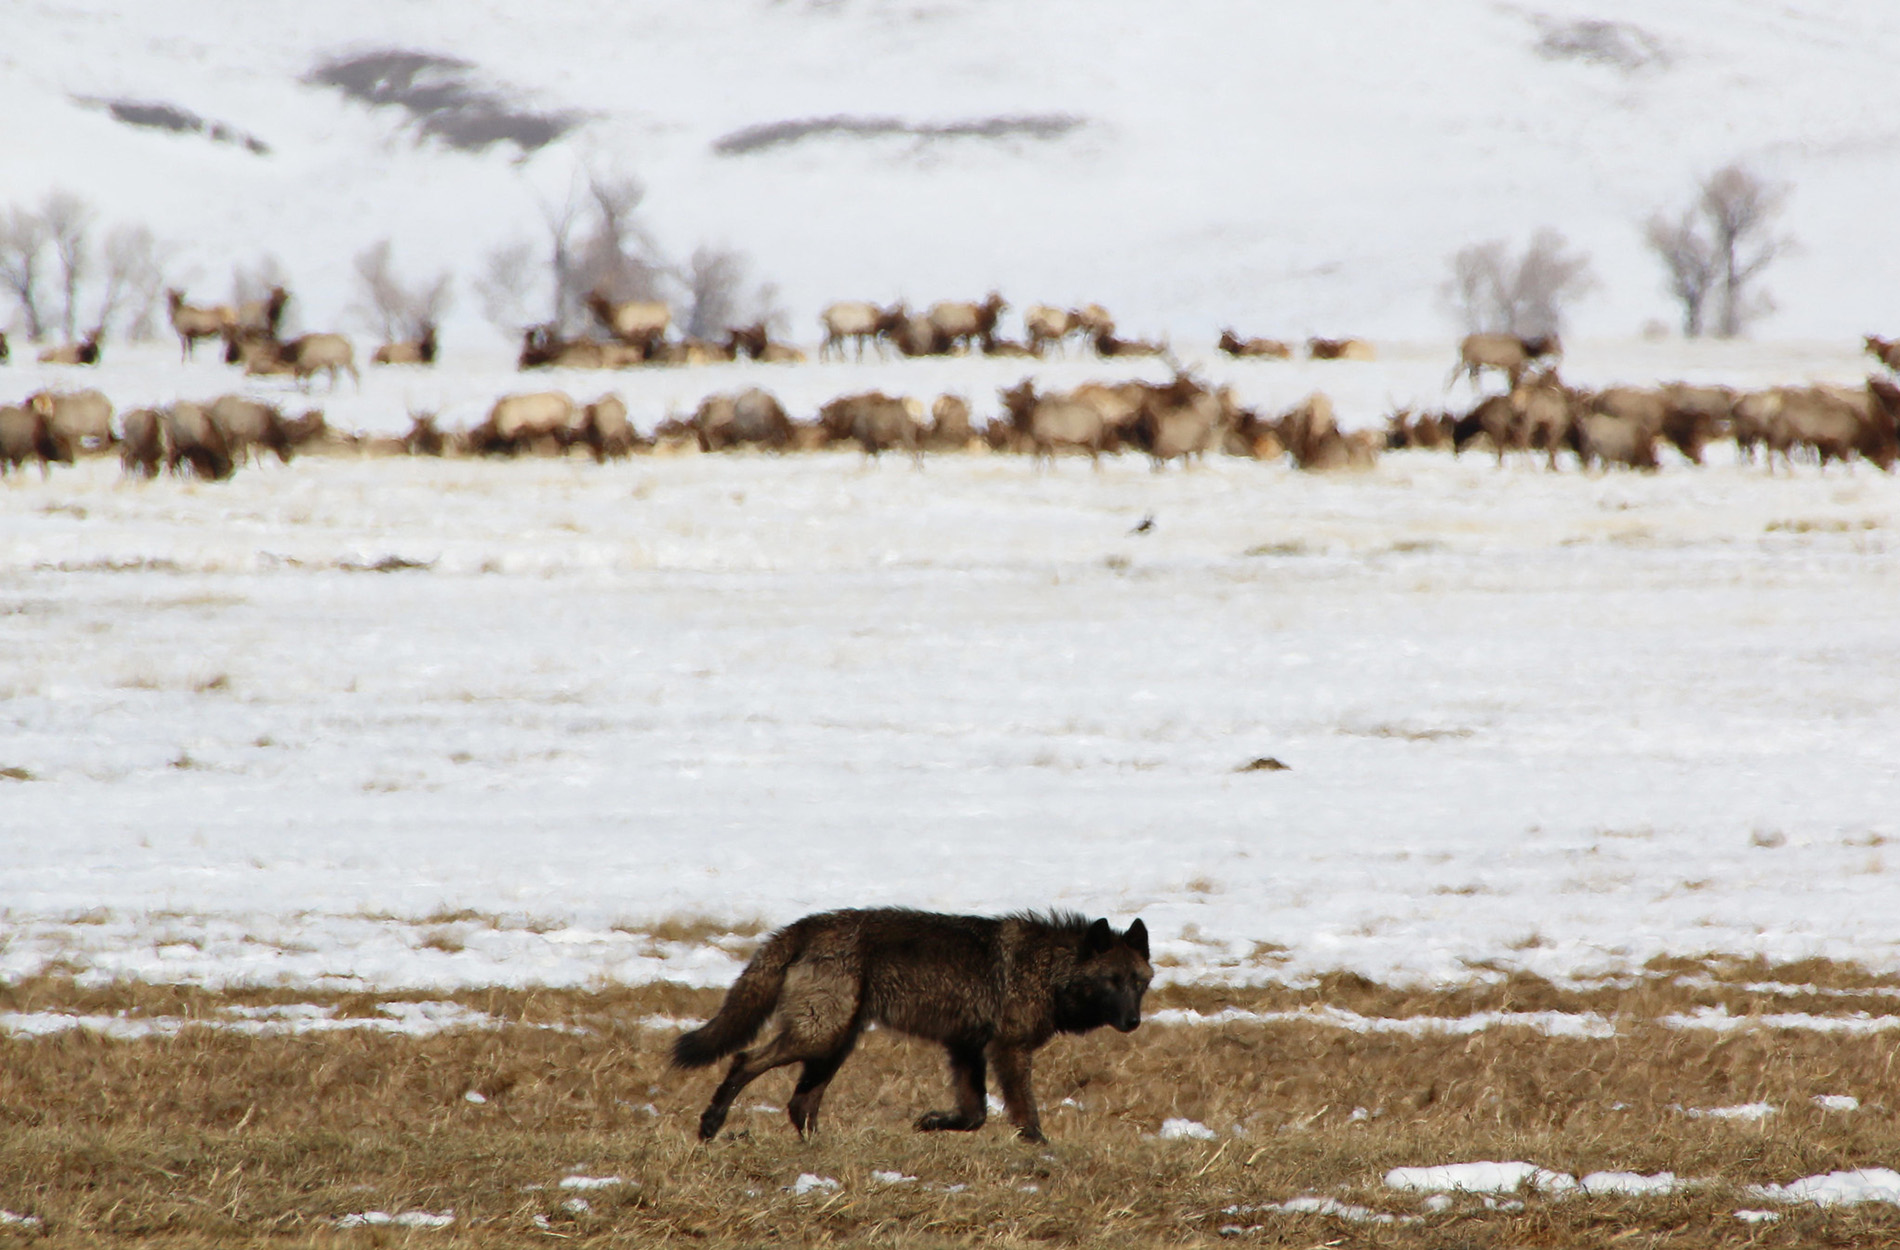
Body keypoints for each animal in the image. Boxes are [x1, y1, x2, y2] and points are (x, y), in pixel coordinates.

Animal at [684, 904, 1155, 1139]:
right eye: (1111, 982)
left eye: (1138, 983)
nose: (1133, 1021)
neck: (1049, 970)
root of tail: (805, 925)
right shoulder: (1008, 1049)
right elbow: (1025, 1112)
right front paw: (1040, 1149)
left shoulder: (966, 1048)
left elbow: (975, 1115)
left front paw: (930, 1123)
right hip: (819, 1038)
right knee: (744, 1061)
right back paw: (710, 1125)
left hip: (835, 1044)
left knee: (800, 1104)